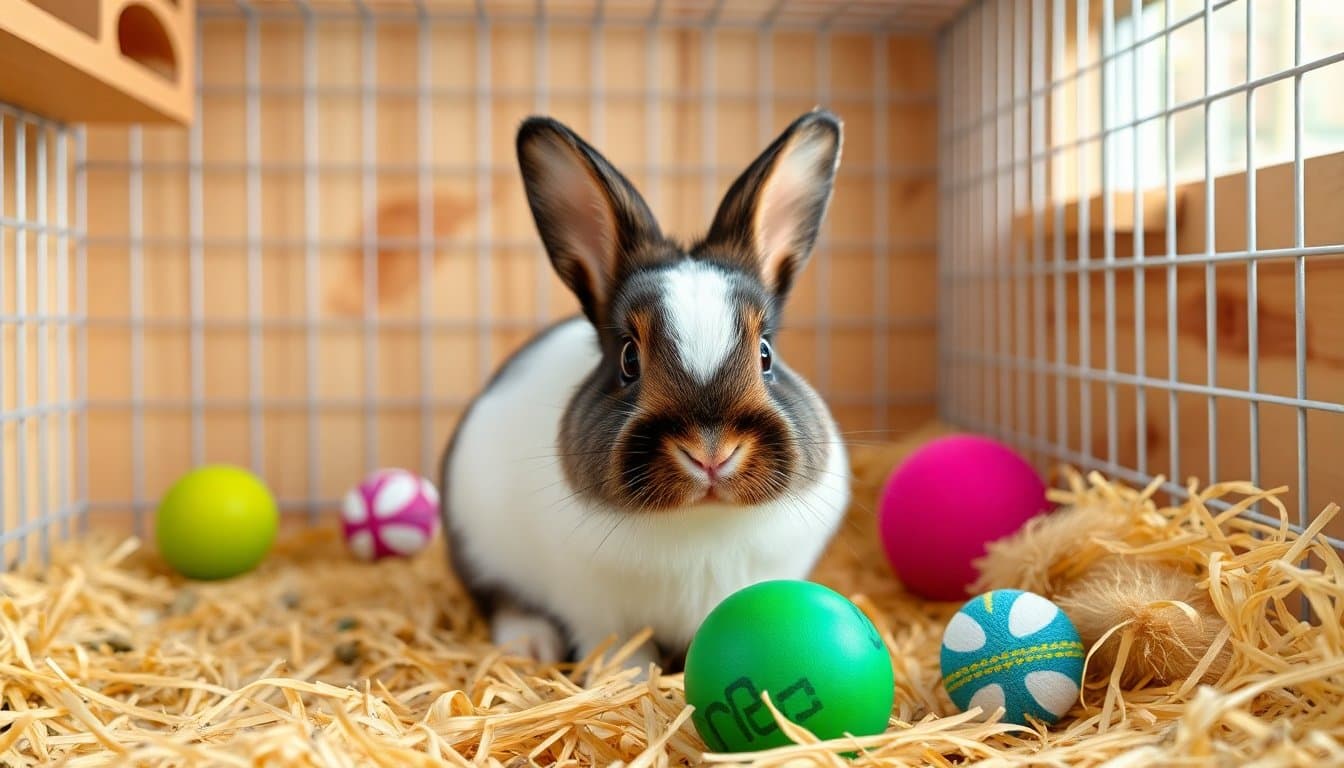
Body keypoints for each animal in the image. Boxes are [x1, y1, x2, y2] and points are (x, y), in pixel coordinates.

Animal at [438, 109, 852, 675]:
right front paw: (630, 678)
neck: (700, 524)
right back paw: (529, 645)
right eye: (629, 360)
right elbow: (617, 646)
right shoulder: (596, 606)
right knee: (501, 599)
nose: (710, 454)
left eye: (766, 354)